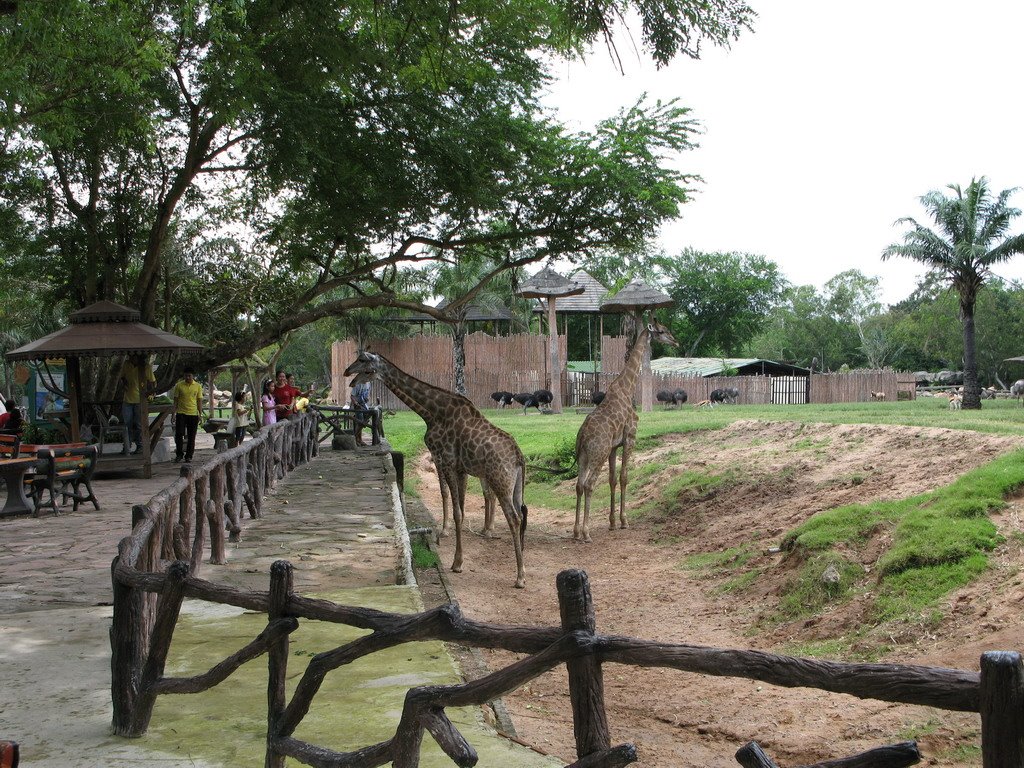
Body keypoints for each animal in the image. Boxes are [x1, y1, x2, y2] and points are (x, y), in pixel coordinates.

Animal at [348, 354, 532, 589]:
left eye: (363, 361)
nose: (347, 373)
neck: (433, 413)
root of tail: (519, 457)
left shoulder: (446, 461)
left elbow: (455, 509)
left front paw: (457, 562)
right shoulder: (460, 469)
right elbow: (460, 510)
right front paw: (456, 555)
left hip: (499, 480)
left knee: (514, 518)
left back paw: (520, 577)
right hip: (515, 485)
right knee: (520, 514)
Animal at [573, 317, 675, 540]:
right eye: (662, 331)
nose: (675, 341)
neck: (627, 388)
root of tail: (583, 434)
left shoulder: (613, 447)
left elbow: (612, 480)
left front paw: (612, 522)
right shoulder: (630, 438)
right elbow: (624, 477)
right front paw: (624, 521)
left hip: (583, 456)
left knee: (578, 485)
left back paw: (575, 532)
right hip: (598, 454)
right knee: (589, 484)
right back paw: (586, 533)